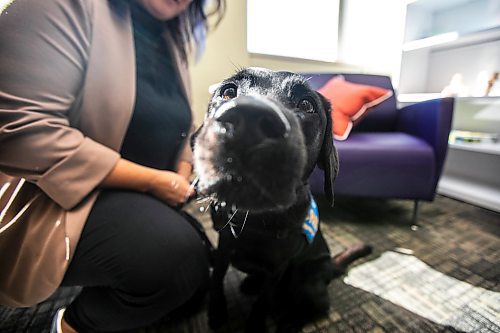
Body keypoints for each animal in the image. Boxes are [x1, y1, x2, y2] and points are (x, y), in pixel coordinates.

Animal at [191, 68, 372, 332]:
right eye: (228, 91)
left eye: (307, 105)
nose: (248, 118)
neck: (256, 221)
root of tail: (331, 266)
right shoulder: (223, 246)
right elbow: (216, 279)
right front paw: (216, 313)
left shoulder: (279, 267)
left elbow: (263, 301)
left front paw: (255, 326)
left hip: (306, 281)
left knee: (317, 307)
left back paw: (287, 323)